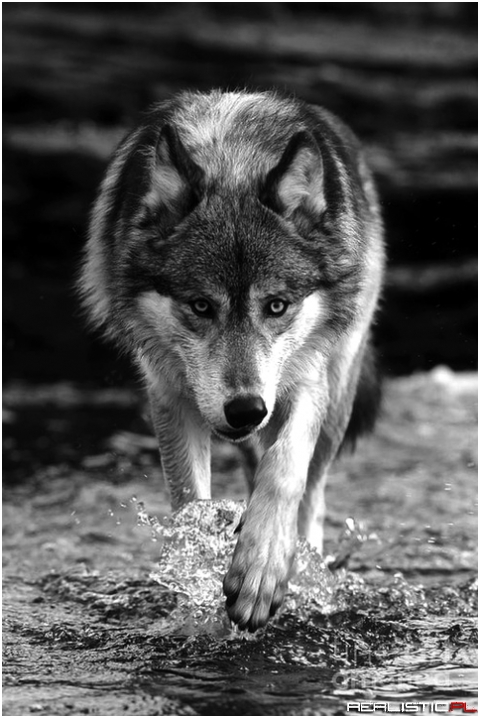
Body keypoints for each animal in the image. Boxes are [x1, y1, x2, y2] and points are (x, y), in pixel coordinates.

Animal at [79, 89, 384, 632]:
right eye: (201, 306)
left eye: (277, 305)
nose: (245, 410)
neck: (233, 159)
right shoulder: (170, 396)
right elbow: (189, 506)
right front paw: (197, 580)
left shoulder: (306, 382)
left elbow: (284, 471)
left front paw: (262, 567)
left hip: (336, 397)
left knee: (310, 491)